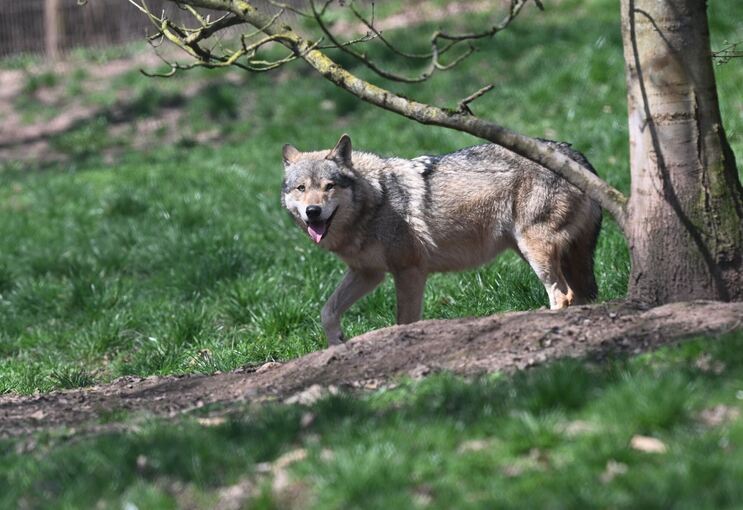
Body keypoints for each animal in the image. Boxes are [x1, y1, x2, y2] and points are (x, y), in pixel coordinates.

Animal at [281, 134, 602, 346]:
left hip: (534, 251)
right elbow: (327, 311)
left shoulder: (409, 271)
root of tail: (578, 158)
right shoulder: (368, 273)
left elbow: (404, 321)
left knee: (562, 295)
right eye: (301, 188)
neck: (375, 200)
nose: (313, 211)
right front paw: (338, 343)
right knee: (577, 295)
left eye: (329, 186)